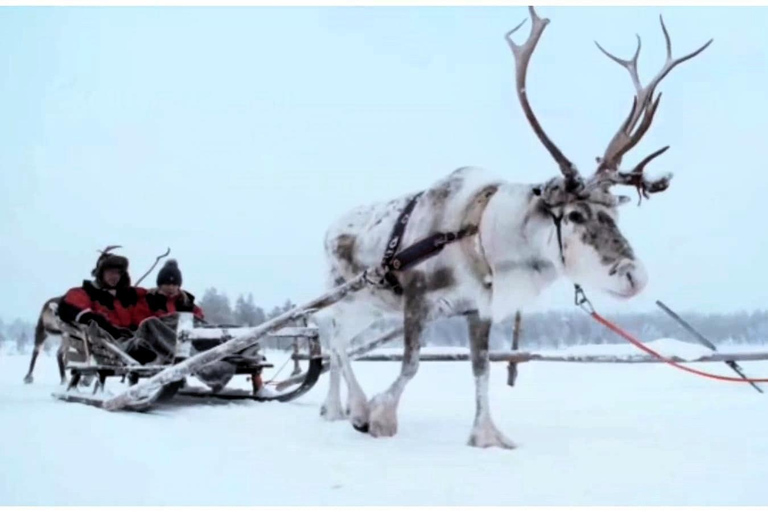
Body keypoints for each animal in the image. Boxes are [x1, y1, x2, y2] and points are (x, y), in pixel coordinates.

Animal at [313, 6, 712, 449]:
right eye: (574, 215)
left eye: (615, 212)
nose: (634, 275)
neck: (480, 237)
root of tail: (330, 229)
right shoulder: (417, 298)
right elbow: (412, 365)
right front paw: (378, 416)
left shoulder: (478, 309)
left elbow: (481, 370)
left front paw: (487, 435)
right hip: (347, 296)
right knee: (333, 339)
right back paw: (351, 407)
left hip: (370, 308)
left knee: (336, 342)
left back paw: (335, 407)